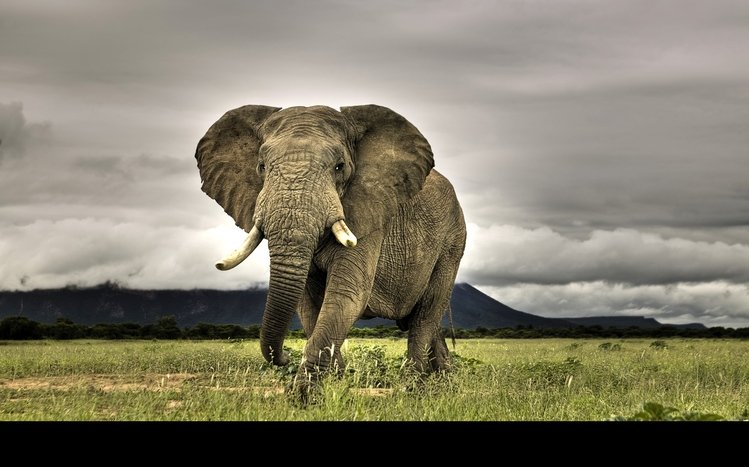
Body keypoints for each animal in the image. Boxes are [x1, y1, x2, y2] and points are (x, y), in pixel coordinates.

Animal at [195, 104, 466, 397]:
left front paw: (304, 396)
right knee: (426, 320)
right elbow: (308, 304)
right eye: (262, 166)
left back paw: (415, 388)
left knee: (425, 316)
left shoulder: (369, 214)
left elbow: (347, 294)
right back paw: (444, 382)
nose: (284, 357)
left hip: (453, 242)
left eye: (340, 167)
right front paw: (335, 382)